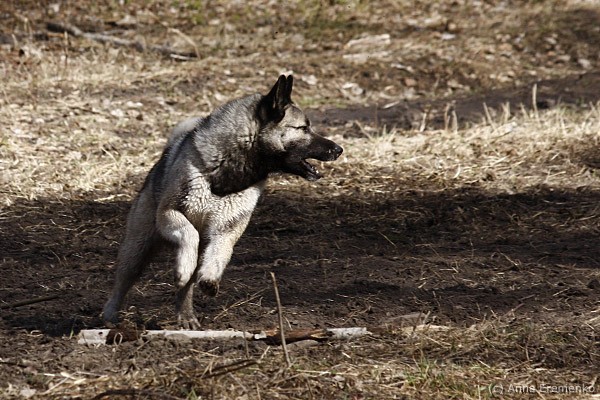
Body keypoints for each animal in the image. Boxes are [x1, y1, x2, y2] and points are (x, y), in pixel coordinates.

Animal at [102, 75, 343, 329]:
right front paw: (183, 268)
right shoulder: (169, 213)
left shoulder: (226, 230)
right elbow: (189, 233)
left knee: (187, 286)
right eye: (303, 128)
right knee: (123, 282)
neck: (229, 172)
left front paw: (209, 279)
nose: (338, 149)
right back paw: (110, 316)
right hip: (137, 249)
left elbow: (218, 255)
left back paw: (186, 316)